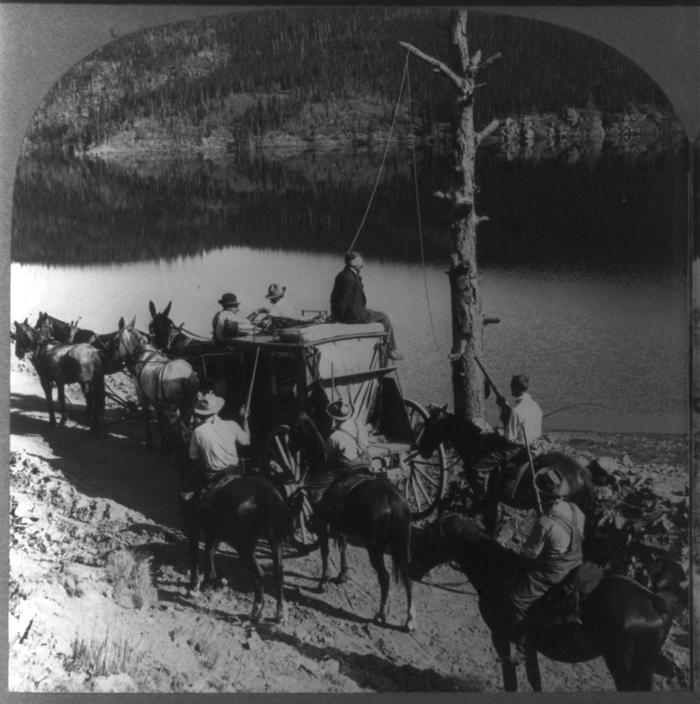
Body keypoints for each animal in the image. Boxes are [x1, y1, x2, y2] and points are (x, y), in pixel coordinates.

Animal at [108, 316, 200, 448]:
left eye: (115, 340)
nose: (112, 360)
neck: (142, 354)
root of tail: (187, 378)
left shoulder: (141, 392)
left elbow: (147, 415)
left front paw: (150, 441)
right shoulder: (156, 400)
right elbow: (160, 421)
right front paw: (163, 441)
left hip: (170, 408)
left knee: (182, 432)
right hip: (188, 405)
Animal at [288, 412, 416, 632]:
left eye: (296, 429)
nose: (289, 446)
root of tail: (394, 499)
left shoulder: (323, 525)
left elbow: (326, 552)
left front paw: (323, 583)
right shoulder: (340, 527)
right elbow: (343, 547)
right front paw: (342, 576)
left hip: (375, 548)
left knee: (385, 577)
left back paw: (381, 613)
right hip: (401, 546)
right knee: (407, 577)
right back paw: (409, 620)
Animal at [408, 508, 688, 692]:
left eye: (430, 536)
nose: (410, 569)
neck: (499, 573)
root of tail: (654, 600)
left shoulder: (500, 636)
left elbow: (511, 679)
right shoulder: (527, 644)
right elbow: (535, 679)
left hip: (626, 668)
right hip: (642, 668)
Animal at [418, 408, 592, 532]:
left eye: (431, 426)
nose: (422, 449)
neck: (476, 446)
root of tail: (581, 473)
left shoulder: (489, 499)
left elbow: (490, 526)